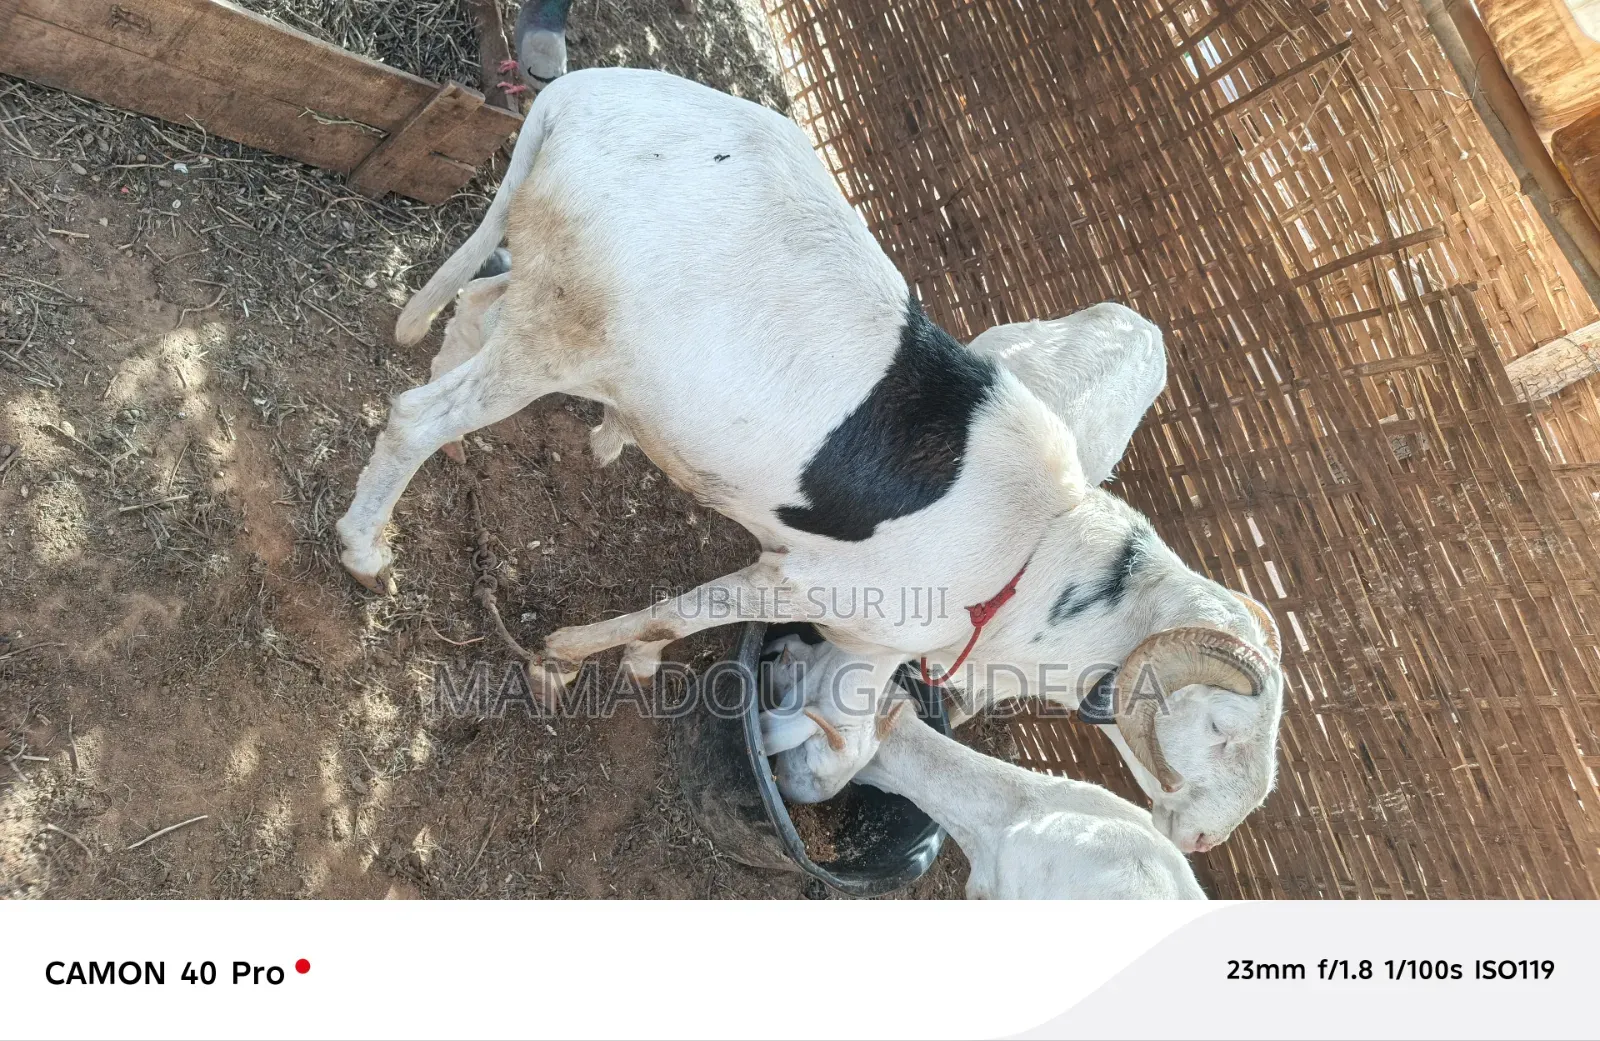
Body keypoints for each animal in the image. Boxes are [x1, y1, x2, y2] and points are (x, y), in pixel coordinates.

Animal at [337, 68, 1284, 854]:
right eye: (1223, 730)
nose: (1204, 837)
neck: (1035, 561)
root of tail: (578, 95)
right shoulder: (802, 579)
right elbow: (674, 617)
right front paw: (567, 655)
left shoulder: (866, 636)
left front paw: (619, 661)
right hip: (562, 329)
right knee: (415, 418)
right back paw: (364, 548)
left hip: (547, 299)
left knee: (472, 303)